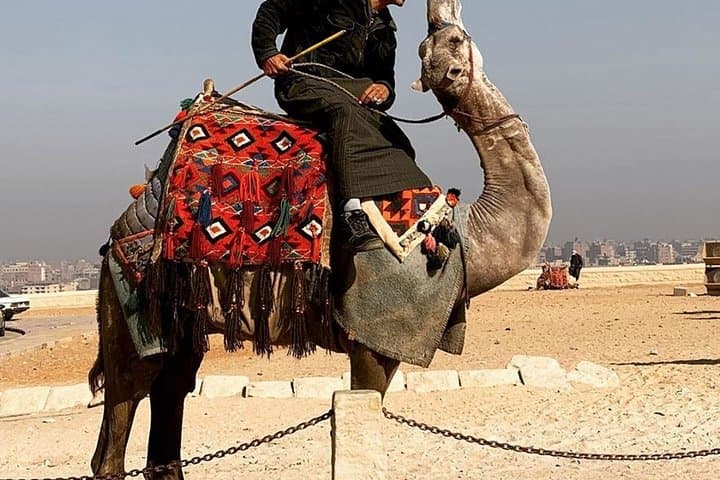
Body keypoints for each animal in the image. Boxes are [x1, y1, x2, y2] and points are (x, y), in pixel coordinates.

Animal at [88, 0, 551, 477]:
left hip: (180, 312)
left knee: (172, 388)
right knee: (125, 401)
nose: (438, 10)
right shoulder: (373, 331)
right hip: (132, 300)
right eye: (450, 40)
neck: (460, 236)